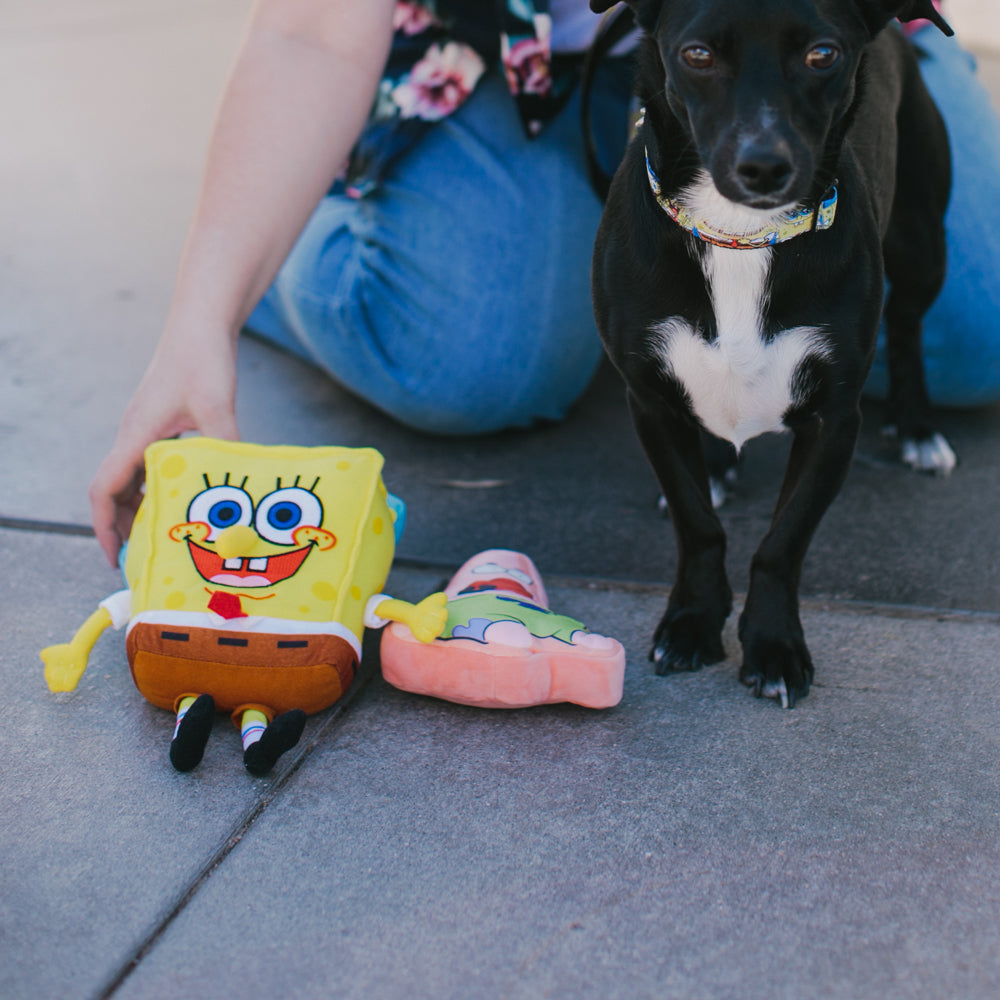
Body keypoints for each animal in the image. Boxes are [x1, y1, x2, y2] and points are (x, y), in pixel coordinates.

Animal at [588, 0, 956, 708]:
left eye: (822, 54)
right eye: (698, 55)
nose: (763, 166)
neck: (739, 235)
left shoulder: (834, 419)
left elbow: (782, 544)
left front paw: (774, 647)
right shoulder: (649, 400)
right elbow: (696, 523)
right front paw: (692, 622)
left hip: (922, 242)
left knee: (908, 329)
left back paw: (918, 427)